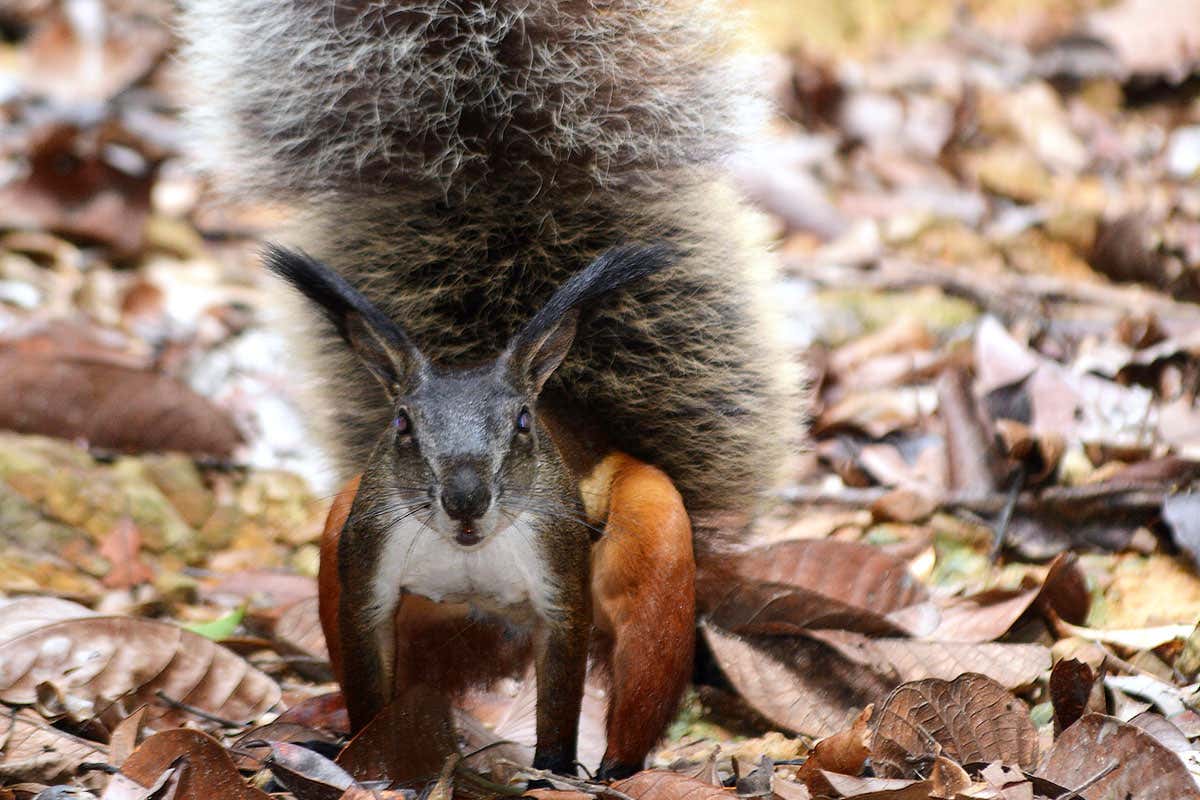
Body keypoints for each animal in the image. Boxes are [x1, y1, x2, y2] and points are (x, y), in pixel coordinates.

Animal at [180, 0, 800, 783]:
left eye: (524, 425)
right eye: (402, 425)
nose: (466, 498)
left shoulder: (561, 586)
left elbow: (562, 691)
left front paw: (554, 766)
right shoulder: (365, 575)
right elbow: (367, 664)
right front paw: (365, 755)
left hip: (656, 548)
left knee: (637, 670)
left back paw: (612, 770)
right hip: (354, 561)